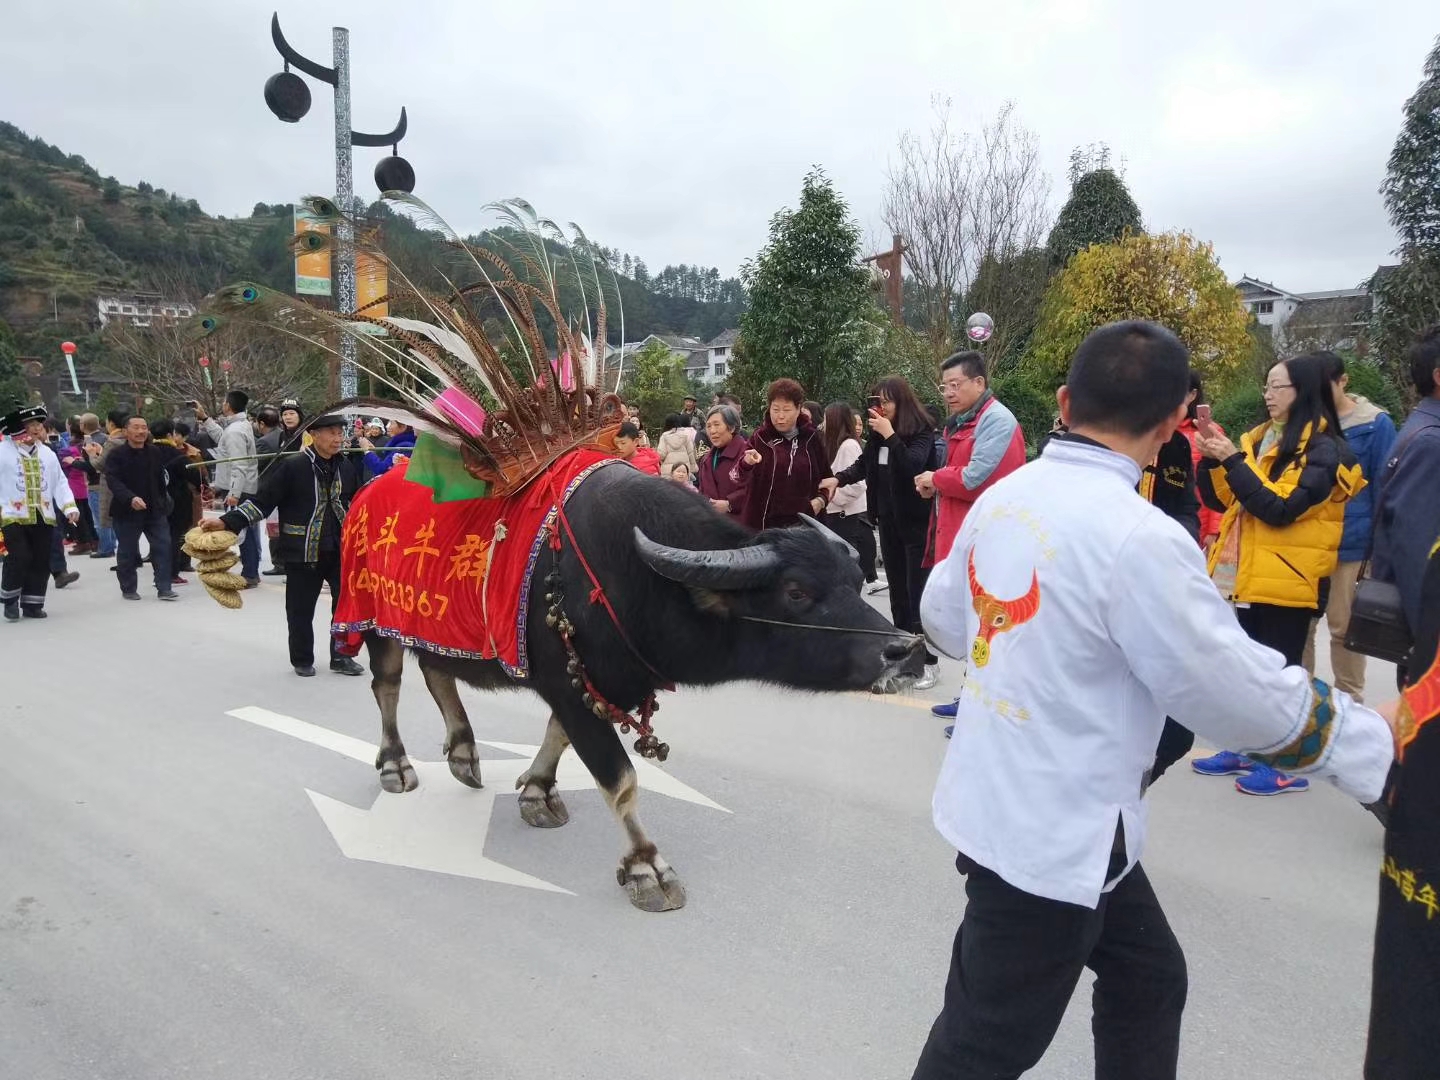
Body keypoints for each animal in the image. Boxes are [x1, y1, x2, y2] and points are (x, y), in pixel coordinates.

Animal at [360, 466, 921, 915]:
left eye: (855, 577)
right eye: (797, 591)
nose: (902, 648)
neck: (638, 582)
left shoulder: (603, 683)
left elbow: (558, 735)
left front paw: (538, 792)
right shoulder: (570, 684)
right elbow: (621, 780)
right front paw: (647, 868)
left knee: (435, 670)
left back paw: (463, 753)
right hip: (372, 618)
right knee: (387, 685)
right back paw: (396, 766)